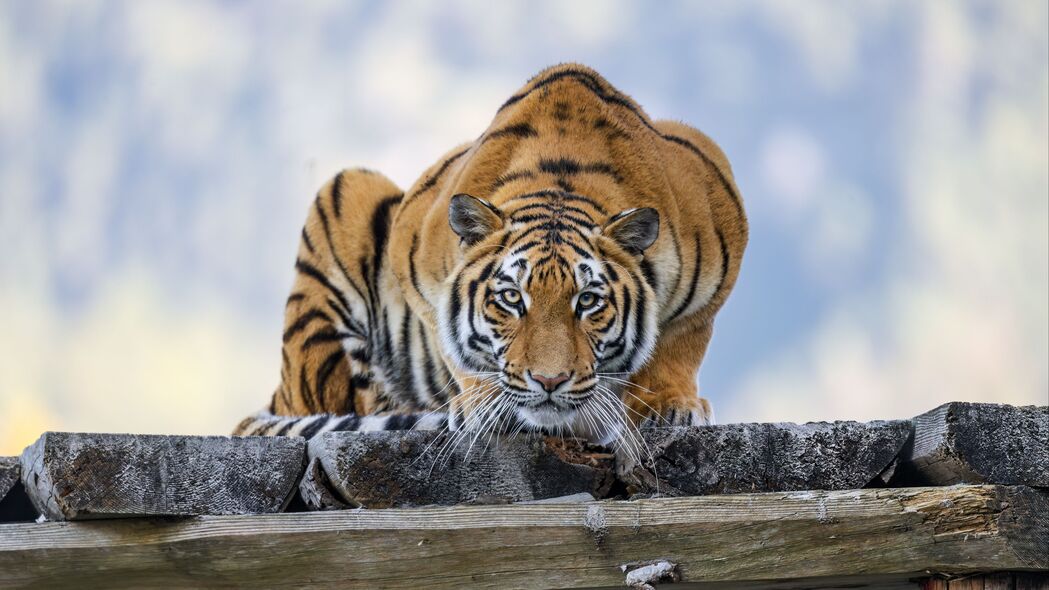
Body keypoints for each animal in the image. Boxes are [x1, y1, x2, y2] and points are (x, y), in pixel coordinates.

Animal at [238, 63, 746, 459]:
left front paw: (670, 404)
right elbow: (454, 344)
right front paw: (481, 404)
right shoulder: (414, 255)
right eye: (511, 299)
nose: (549, 381)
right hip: (346, 192)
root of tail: (280, 391)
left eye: (587, 301)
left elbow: (682, 339)